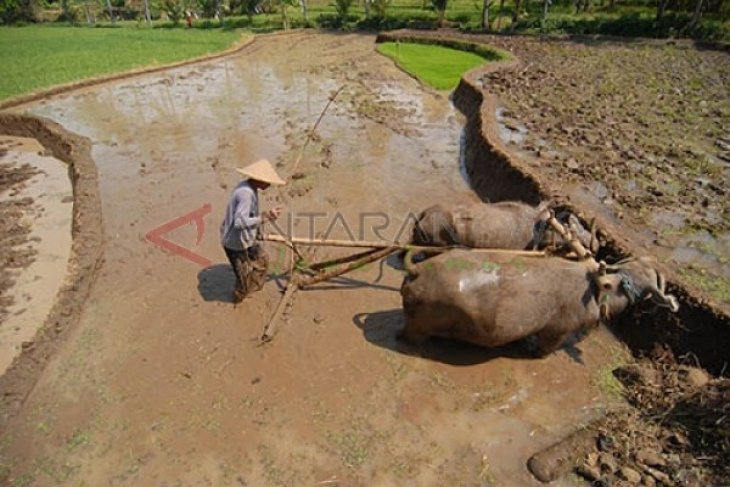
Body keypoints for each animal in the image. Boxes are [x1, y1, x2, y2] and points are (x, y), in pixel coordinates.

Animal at [398, 250, 676, 356]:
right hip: (419, 326)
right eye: (646, 284)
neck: (596, 291)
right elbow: (546, 348)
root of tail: (417, 270)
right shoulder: (557, 330)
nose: (660, 263)